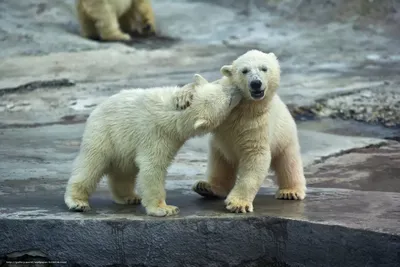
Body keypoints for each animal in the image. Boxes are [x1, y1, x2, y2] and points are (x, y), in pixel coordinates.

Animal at [64, 74, 242, 217]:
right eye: (228, 101)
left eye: (222, 84)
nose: (238, 89)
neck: (172, 114)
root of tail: (96, 110)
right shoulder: (155, 135)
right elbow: (153, 167)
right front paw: (165, 209)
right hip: (104, 134)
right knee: (91, 165)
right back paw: (78, 202)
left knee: (124, 171)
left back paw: (129, 197)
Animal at [191, 49, 306, 214]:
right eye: (244, 71)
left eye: (264, 68)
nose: (256, 83)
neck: (245, 107)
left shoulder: (258, 123)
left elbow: (255, 156)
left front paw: (238, 204)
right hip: (220, 146)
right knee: (220, 162)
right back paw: (206, 187)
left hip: (285, 136)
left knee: (289, 162)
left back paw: (290, 191)